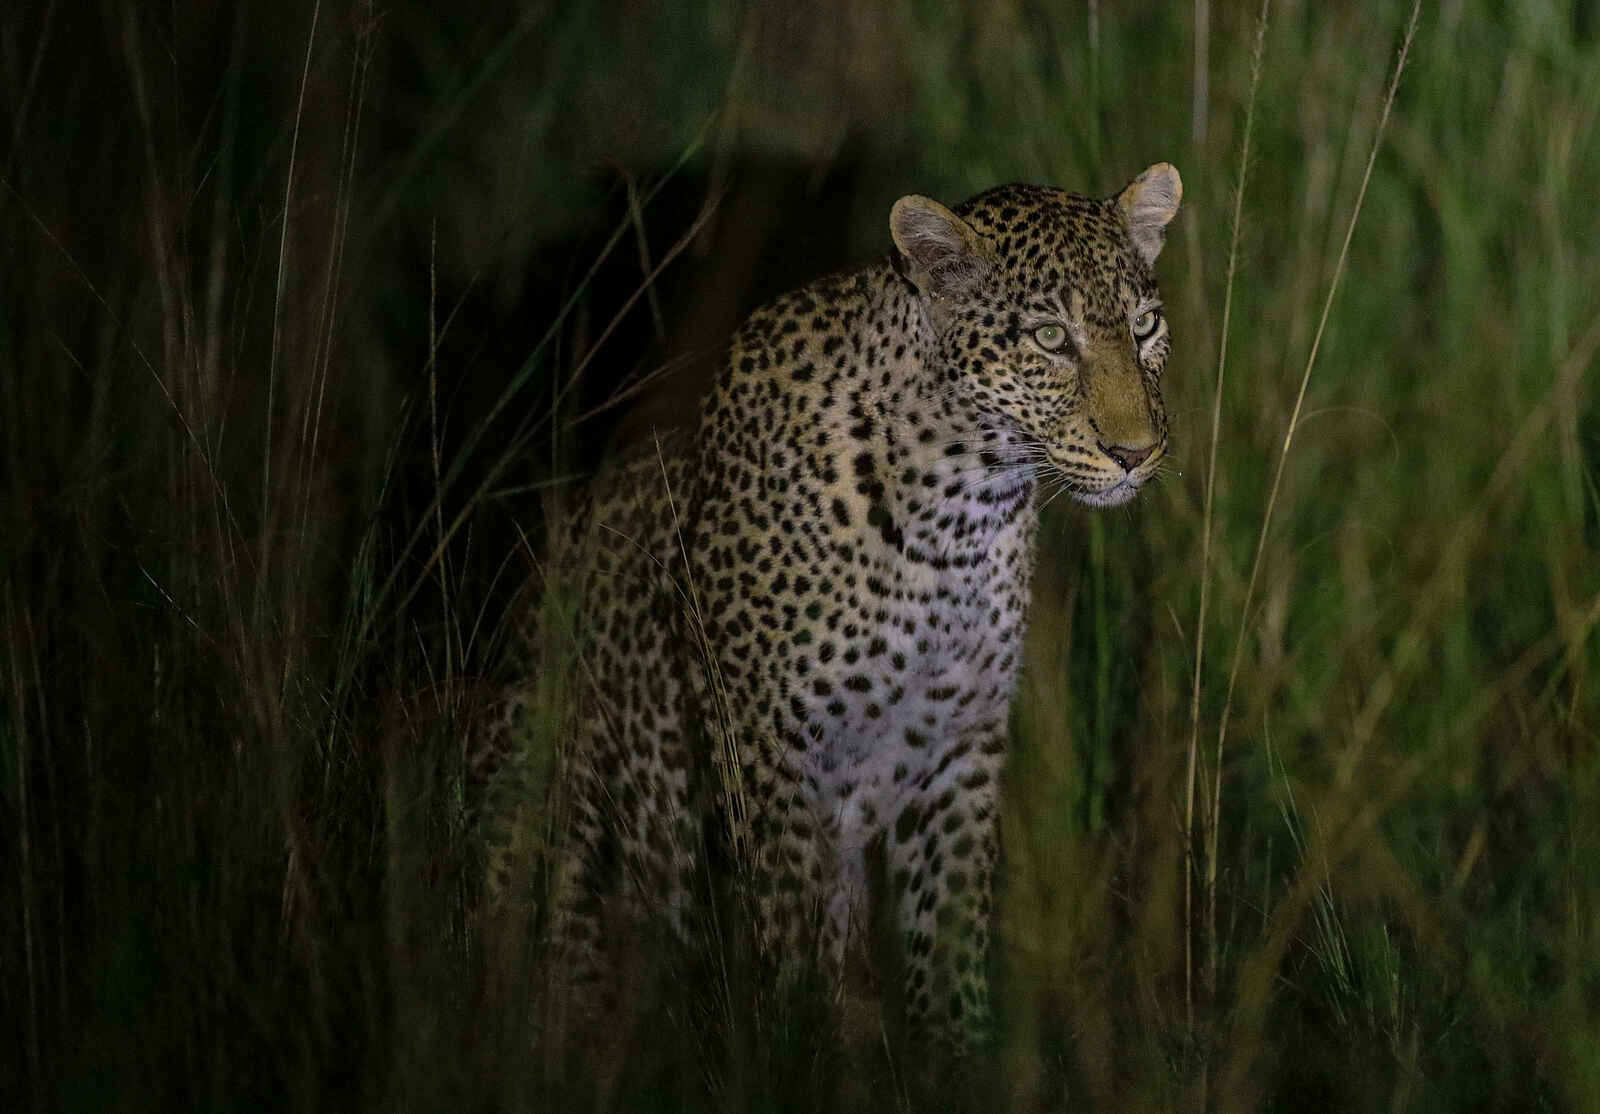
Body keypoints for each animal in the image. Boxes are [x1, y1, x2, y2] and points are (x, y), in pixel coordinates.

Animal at [513, 162, 1182, 1058]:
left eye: (1144, 328)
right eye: (1049, 339)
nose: (1136, 453)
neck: (956, 517)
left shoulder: (960, 748)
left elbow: (950, 939)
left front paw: (956, 1056)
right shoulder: (764, 752)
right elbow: (788, 941)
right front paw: (793, 1057)